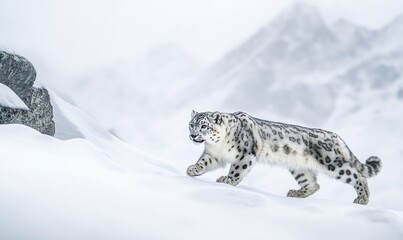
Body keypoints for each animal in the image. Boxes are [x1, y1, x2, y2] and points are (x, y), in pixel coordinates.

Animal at [186, 110, 382, 204]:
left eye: (203, 125)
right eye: (191, 124)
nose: (193, 135)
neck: (218, 145)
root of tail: (337, 137)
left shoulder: (245, 154)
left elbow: (237, 170)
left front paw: (227, 180)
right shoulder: (213, 154)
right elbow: (204, 162)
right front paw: (193, 169)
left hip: (334, 164)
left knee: (358, 176)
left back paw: (362, 199)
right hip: (300, 168)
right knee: (314, 184)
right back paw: (296, 193)